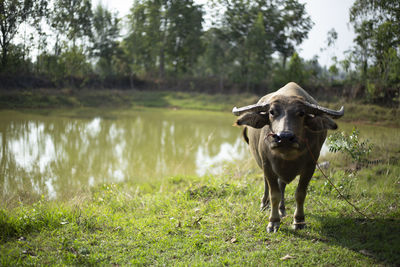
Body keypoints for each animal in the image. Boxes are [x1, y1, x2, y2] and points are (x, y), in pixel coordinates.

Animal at [231, 82, 344, 233]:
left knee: (282, 184)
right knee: (268, 184)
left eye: (301, 113)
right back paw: (264, 204)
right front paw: (273, 222)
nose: (284, 137)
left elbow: (300, 193)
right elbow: (274, 194)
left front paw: (299, 220)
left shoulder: (310, 166)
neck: (287, 155)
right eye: (272, 112)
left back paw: (282, 209)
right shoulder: (267, 165)